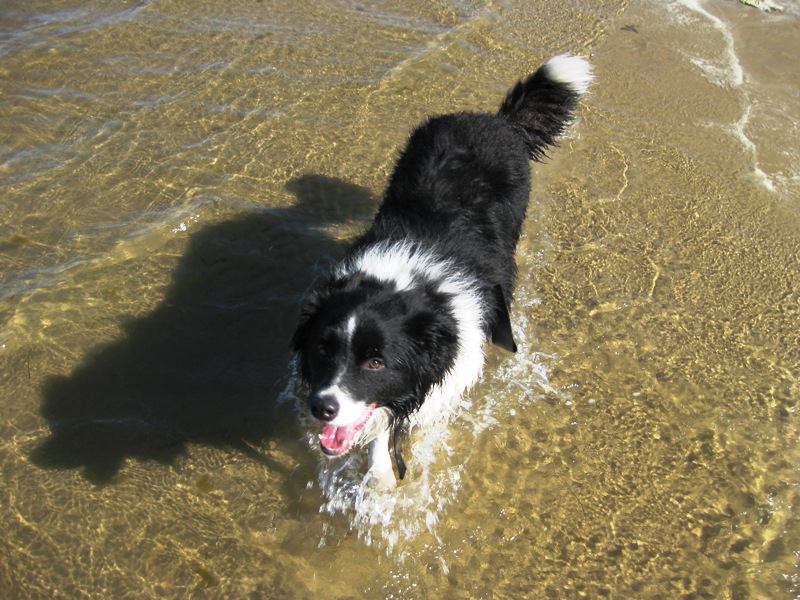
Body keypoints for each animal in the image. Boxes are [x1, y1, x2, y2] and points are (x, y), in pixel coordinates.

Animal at [290, 54, 592, 488]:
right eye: (322, 349)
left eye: (376, 362)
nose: (323, 408)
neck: (405, 282)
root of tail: (494, 120)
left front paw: (383, 477)